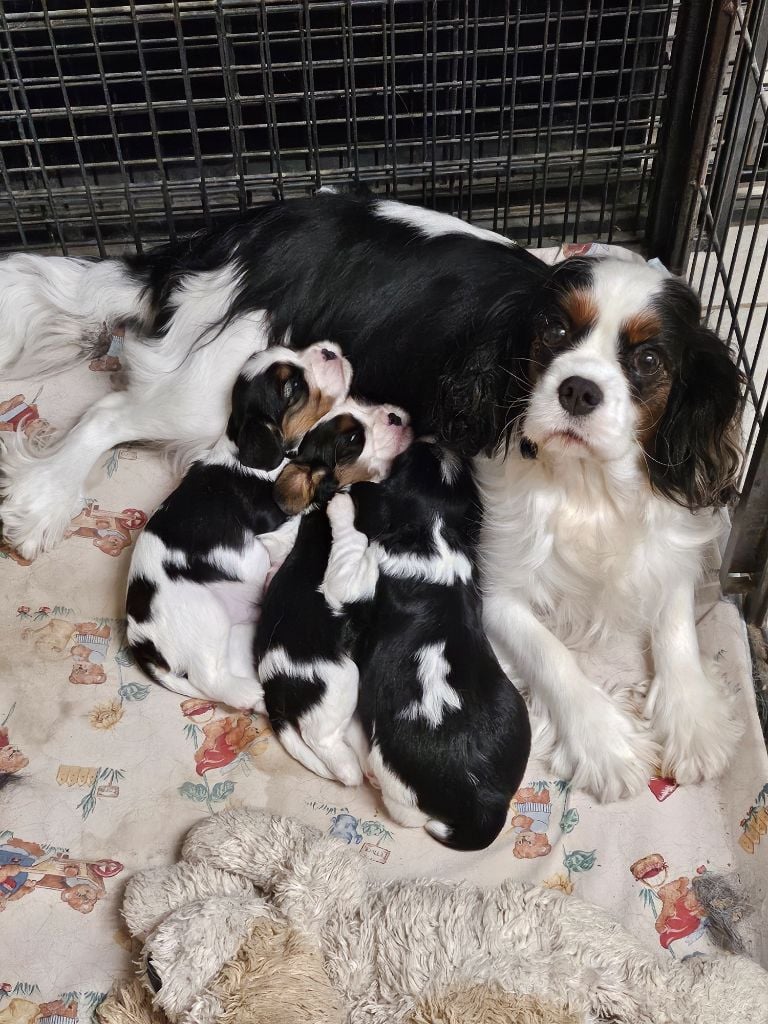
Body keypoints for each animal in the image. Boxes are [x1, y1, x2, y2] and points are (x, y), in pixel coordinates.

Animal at [126, 339, 354, 708]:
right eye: (293, 386)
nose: (329, 351)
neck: (239, 446)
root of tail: (139, 640)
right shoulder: (274, 525)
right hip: (205, 612)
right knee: (210, 677)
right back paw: (251, 694)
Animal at [257, 399, 415, 782]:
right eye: (354, 439)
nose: (395, 416)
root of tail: (272, 692)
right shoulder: (347, 579)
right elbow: (360, 546)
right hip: (342, 679)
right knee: (325, 744)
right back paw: (353, 768)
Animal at [321, 444, 532, 851]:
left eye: (402, 461)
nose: (435, 441)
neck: (435, 530)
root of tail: (486, 801)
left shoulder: (353, 580)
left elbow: (347, 552)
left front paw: (340, 506)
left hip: (392, 770)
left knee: (406, 813)